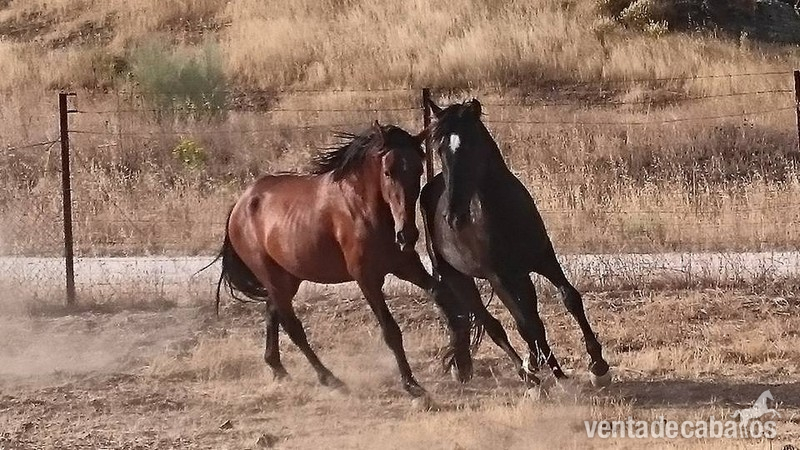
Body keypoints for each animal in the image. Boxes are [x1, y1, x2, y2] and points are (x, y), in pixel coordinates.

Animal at [214, 121, 473, 401]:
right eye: (388, 172)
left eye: (418, 169)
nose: (407, 235)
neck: (365, 209)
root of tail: (239, 205)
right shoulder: (367, 279)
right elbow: (391, 331)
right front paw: (411, 384)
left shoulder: (406, 266)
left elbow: (443, 295)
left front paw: (461, 360)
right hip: (272, 277)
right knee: (292, 326)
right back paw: (329, 378)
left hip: (288, 278)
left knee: (273, 313)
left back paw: (278, 369)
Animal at [419, 98, 611, 387]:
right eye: (440, 149)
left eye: (471, 145)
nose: (453, 217)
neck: (503, 213)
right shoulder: (498, 276)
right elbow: (524, 324)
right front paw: (545, 370)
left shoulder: (544, 259)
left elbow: (569, 299)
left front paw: (598, 366)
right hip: (458, 276)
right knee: (493, 324)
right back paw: (527, 374)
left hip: (519, 275)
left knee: (528, 315)